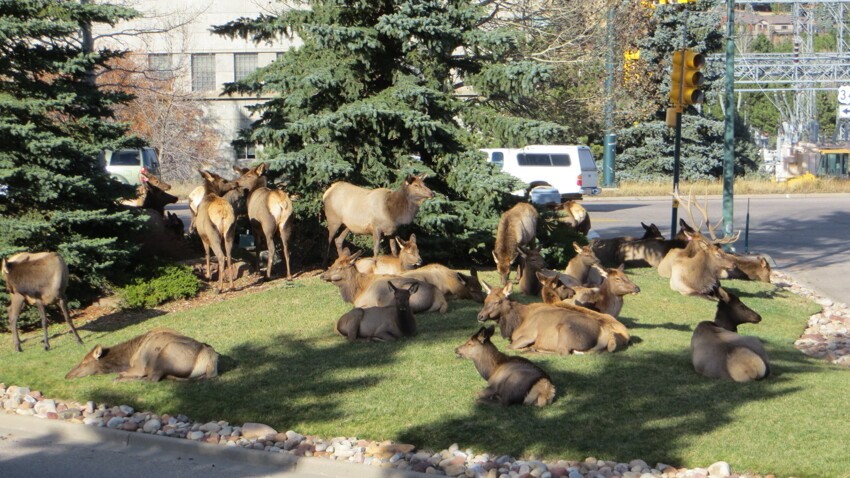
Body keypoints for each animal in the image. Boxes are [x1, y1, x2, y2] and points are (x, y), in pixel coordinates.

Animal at [66, 328, 219, 380]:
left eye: (84, 362)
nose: (67, 375)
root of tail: (209, 362)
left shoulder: (138, 366)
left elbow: (121, 374)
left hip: (165, 354)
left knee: (152, 378)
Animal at [474, 280, 628, 354]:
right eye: (485, 300)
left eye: (497, 301)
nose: (480, 316)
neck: (516, 323)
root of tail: (607, 334)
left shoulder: (528, 335)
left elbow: (509, 347)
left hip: (566, 331)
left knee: (562, 352)